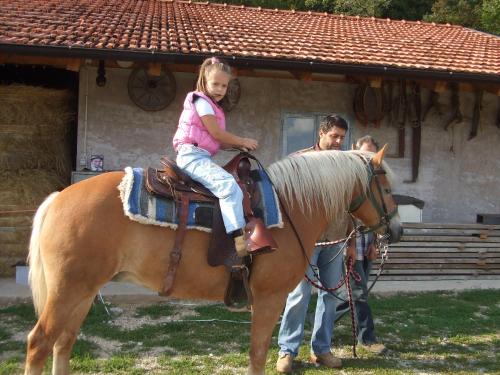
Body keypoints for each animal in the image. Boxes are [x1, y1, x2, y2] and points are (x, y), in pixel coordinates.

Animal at [25, 147, 404, 375]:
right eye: (386, 189)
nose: (396, 230)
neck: (290, 208)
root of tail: (57, 198)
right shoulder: (269, 299)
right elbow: (257, 354)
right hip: (67, 291)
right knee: (40, 343)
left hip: (84, 291)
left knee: (63, 342)